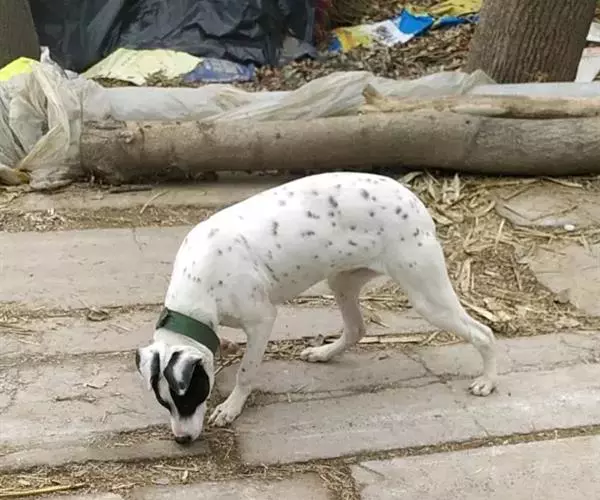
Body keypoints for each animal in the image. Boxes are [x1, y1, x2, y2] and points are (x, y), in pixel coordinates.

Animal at [136, 172, 497, 444]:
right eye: (164, 402)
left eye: (190, 396)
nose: (182, 440)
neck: (201, 278)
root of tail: (411, 198)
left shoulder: (262, 320)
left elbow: (246, 372)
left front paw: (232, 407)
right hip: (341, 282)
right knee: (356, 328)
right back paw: (324, 353)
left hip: (427, 297)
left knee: (484, 333)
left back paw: (487, 381)